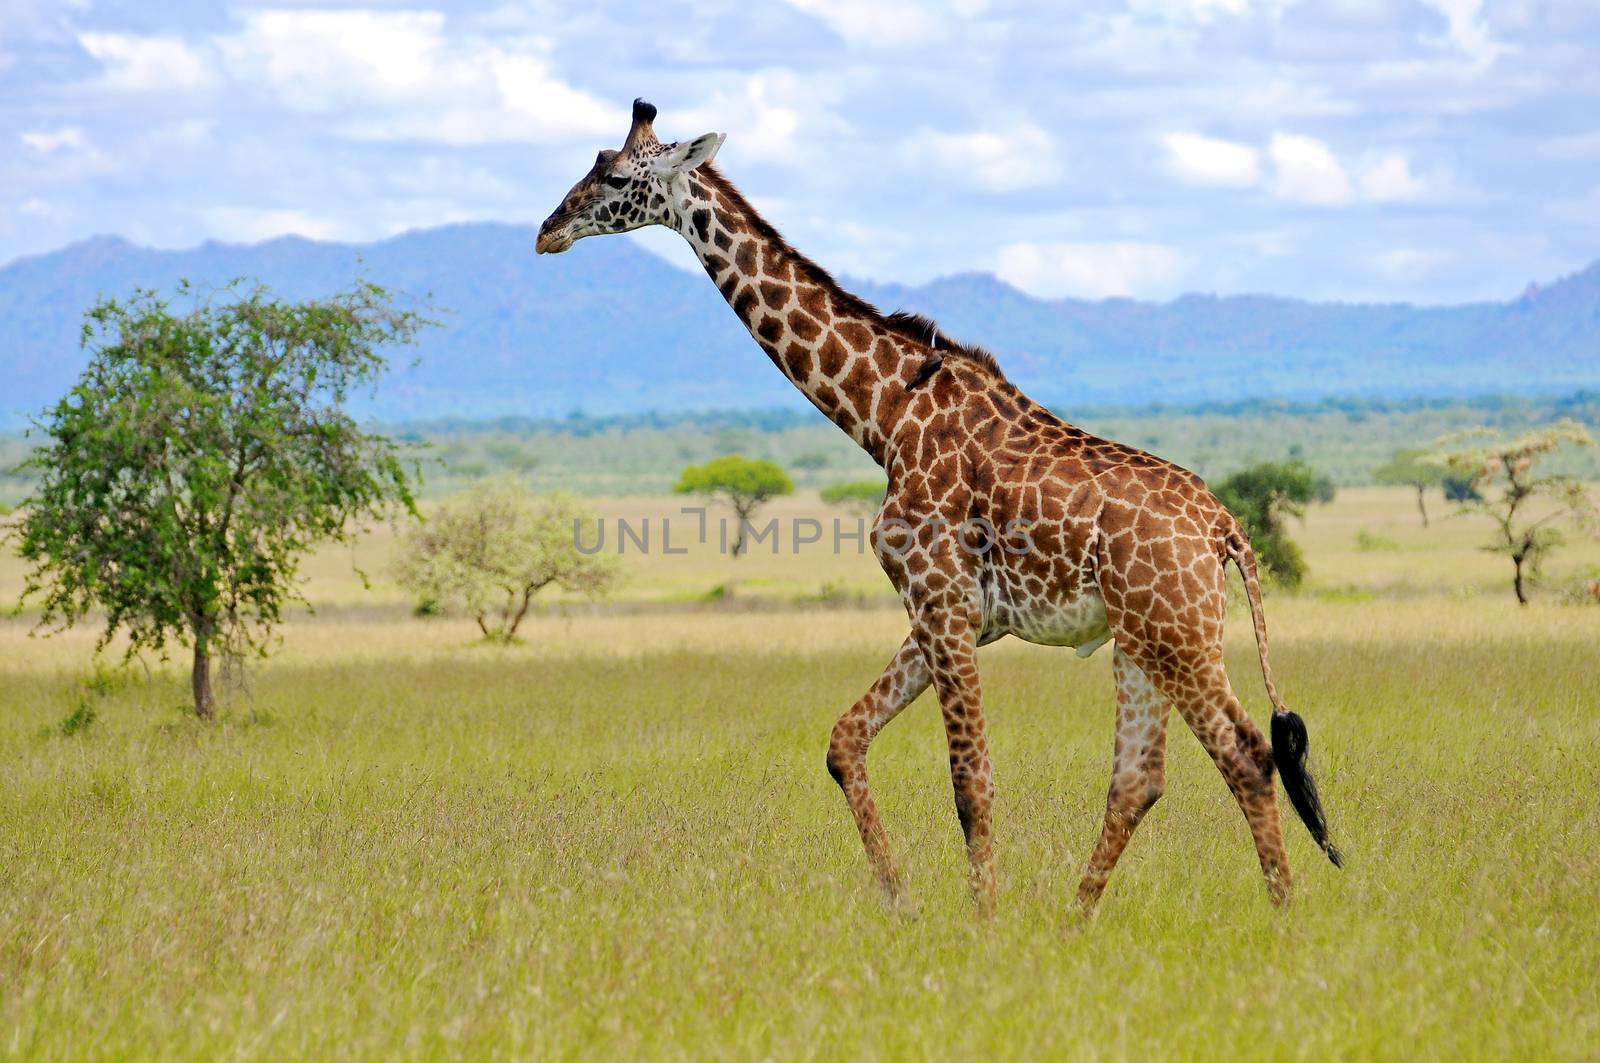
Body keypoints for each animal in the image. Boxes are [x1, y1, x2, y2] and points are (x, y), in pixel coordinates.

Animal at [537, 99, 1337, 915]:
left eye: (614, 177)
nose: (547, 230)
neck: (884, 413)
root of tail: (1226, 529)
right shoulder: (951, 613)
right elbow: (845, 740)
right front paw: (901, 900)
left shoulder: (942, 599)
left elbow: (970, 782)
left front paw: (983, 921)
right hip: (1141, 639)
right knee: (1139, 780)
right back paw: (1073, 921)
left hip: (1178, 634)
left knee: (1247, 754)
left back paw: (1280, 916)